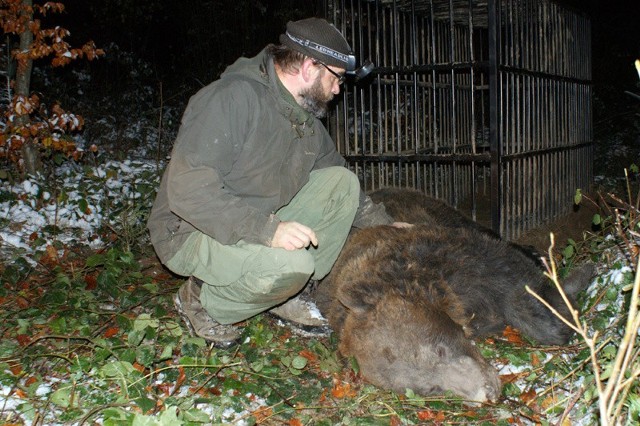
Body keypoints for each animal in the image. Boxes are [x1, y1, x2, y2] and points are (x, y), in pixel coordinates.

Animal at [318, 187, 592, 402]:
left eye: (440, 350)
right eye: (431, 388)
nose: (488, 392)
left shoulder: (453, 256)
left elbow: (516, 285)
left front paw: (572, 292)